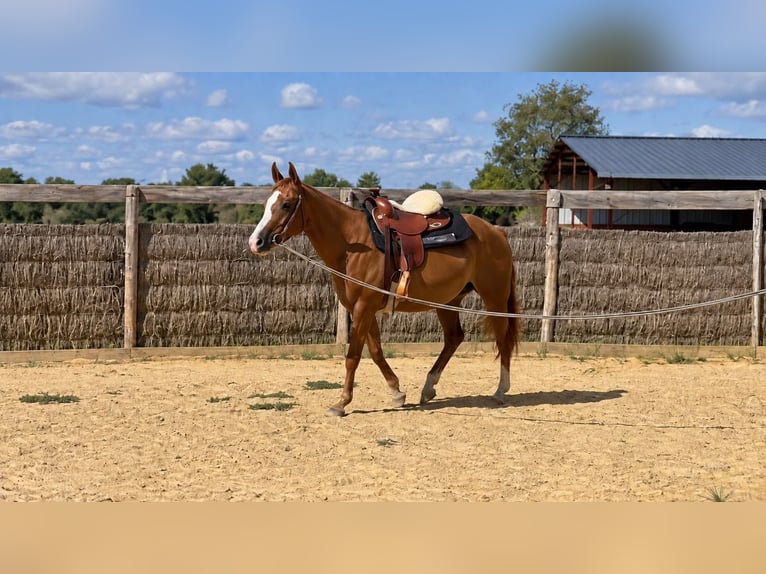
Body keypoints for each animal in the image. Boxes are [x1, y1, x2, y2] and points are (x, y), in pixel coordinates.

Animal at [249, 162, 520, 416]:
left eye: (286, 204)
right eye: (265, 203)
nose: (256, 242)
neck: (352, 243)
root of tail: (496, 232)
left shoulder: (363, 307)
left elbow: (353, 356)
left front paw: (341, 403)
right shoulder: (363, 309)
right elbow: (376, 351)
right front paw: (396, 392)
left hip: (494, 298)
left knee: (502, 338)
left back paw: (500, 390)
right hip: (448, 300)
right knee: (454, 338)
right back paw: (428, 387)